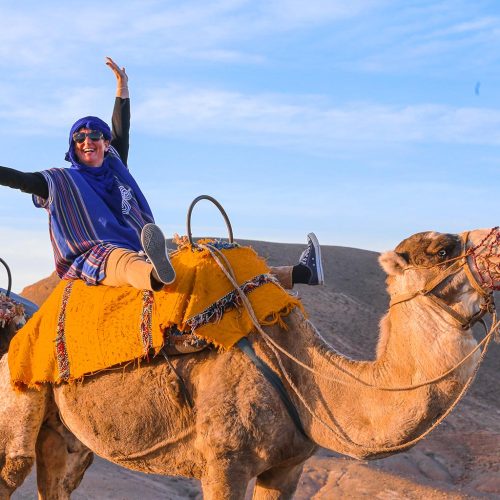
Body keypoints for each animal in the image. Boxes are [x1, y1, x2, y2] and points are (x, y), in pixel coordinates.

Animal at [0, 229, 498, 498]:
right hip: (17, 392)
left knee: (58, 476)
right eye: (441, 250)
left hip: (67, 435)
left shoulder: (289, 467)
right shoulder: (224, 461)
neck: (305, 376)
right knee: (14, 465)